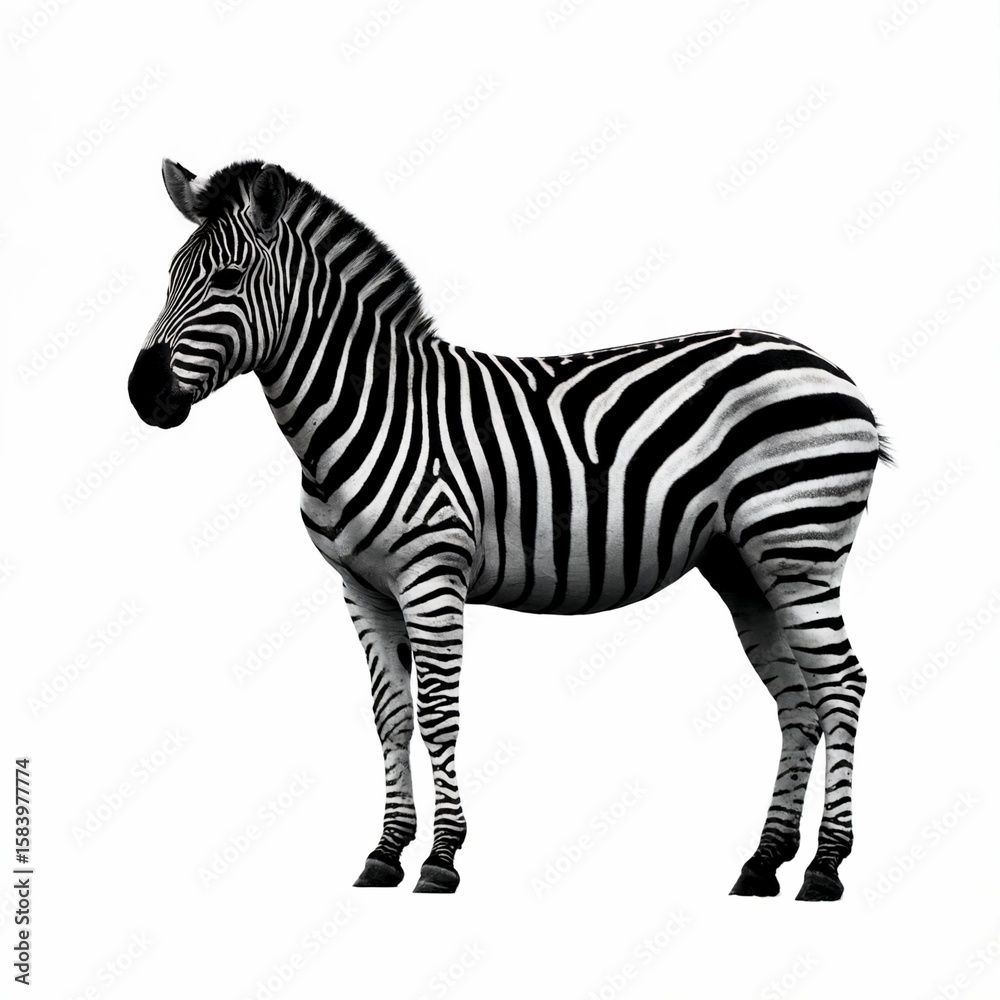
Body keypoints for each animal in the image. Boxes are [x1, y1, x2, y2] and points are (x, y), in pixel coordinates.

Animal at [129, 158, 891, 899]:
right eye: (168, 276)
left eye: (227, 279)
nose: (143, 395)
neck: (369, 407)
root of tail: (827, 367)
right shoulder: (361, 588)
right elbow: (391, 717)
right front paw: (386, 851)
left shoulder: (431, 575)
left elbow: (438, 712)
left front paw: (441, 858)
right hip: (746, 567)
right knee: (797, 700)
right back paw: (764, 863)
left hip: (800, 548)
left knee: (841, 685)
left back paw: (825, 866)